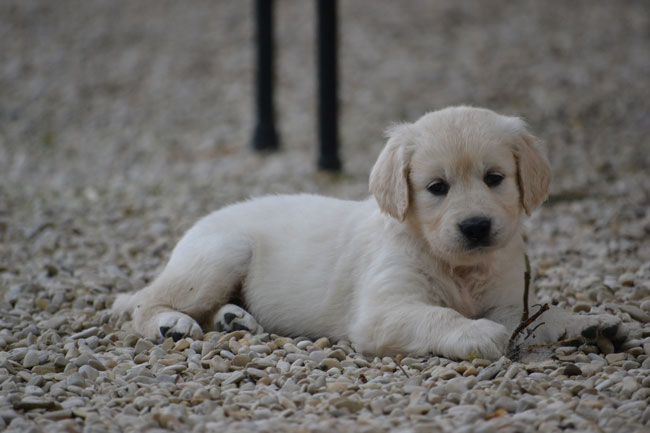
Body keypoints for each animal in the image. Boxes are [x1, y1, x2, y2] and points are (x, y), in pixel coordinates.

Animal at [112, 106, 624, 360]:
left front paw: (592, 323)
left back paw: (232, 320)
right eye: (437, 188)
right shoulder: (385, 310)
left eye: (494, 178)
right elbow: (437, 317)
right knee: (142, 301)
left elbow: (543, 318)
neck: (456, 264)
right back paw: (171, 324)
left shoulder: (508, 300)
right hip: (222, 253)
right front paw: (476, 333)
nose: (476, 226)